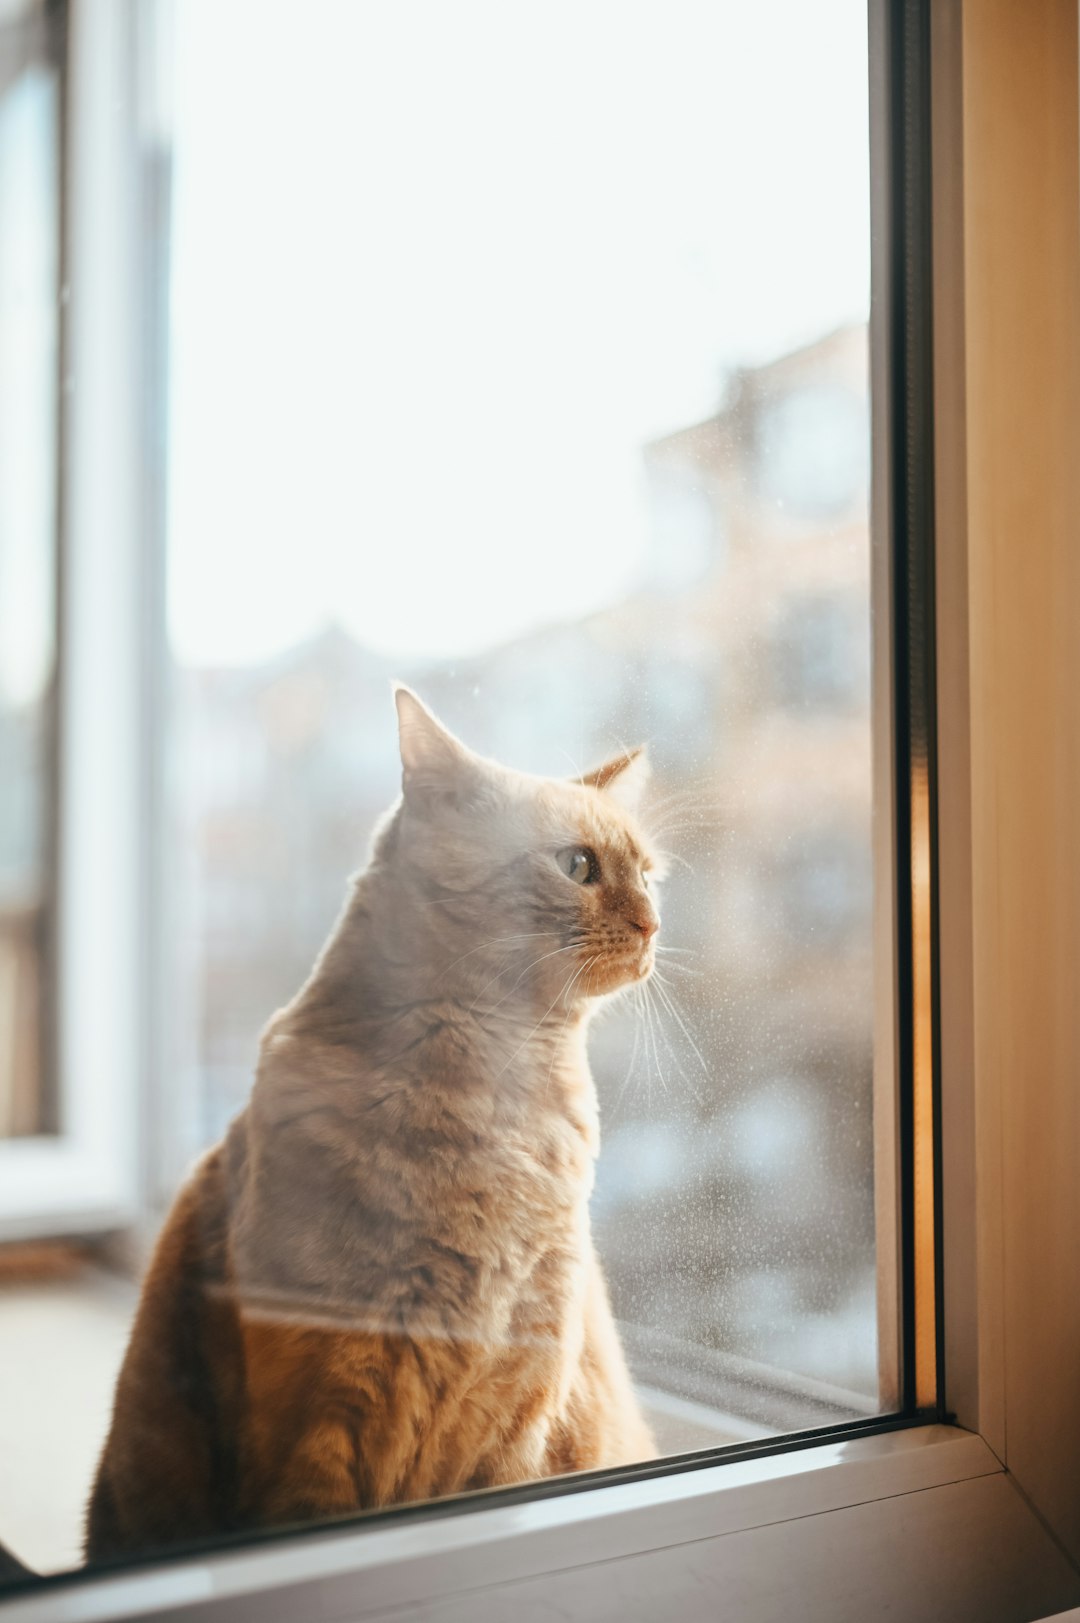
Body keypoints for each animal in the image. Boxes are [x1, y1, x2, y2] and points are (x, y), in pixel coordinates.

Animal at [86, 688, 656, 1558]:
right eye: (579, 866)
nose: (654, 923)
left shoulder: (513, 1422)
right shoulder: (321, 1419)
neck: (496, 1110)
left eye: (651, 874)